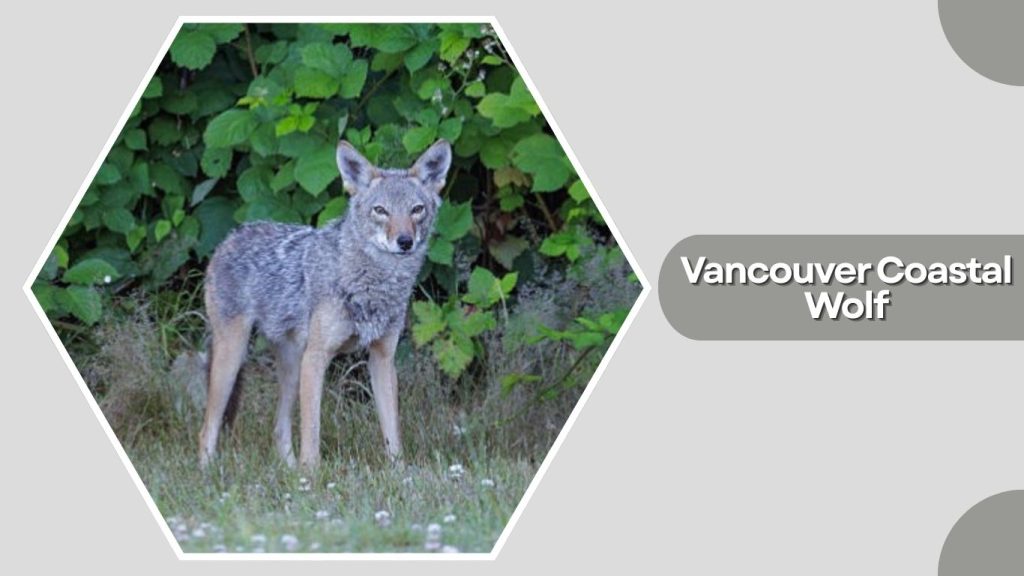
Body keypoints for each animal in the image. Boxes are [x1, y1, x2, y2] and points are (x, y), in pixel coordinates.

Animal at [198, 139, 452, 469]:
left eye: (416, 209)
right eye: (381, 211)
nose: (405, 241)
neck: (370, 285)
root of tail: (229, 237)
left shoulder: (382, 358)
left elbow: (392, 432)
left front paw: (399, 472)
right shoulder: (317, 357)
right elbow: (312, 431)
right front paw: (312, 475)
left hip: (291, 366)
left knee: (278, 429)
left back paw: (289, 470)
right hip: (234, 357)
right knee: (208, 427)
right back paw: (209, 471)